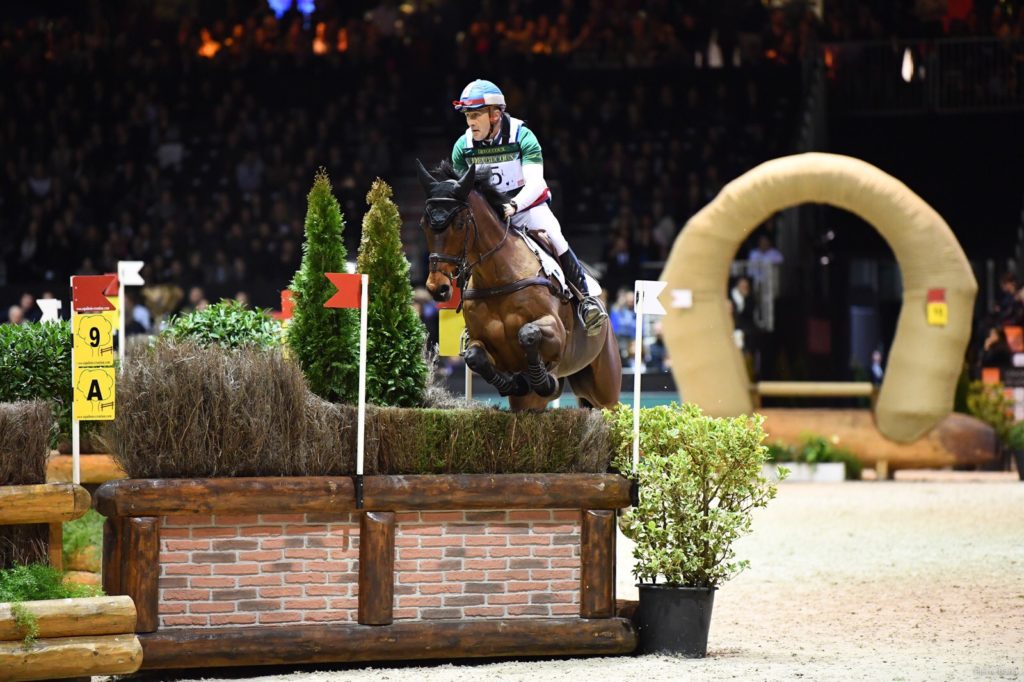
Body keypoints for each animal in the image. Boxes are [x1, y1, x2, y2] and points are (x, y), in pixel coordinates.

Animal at [413, 159, 618, 409]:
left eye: (460, 224)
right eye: (423, 225)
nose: (438, 287)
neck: (499, 278)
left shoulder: (555, 330)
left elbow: (527, 332)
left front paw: (543, 380)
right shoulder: (483, 343)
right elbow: (475, 357)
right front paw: (516, 383)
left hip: (604, 387)